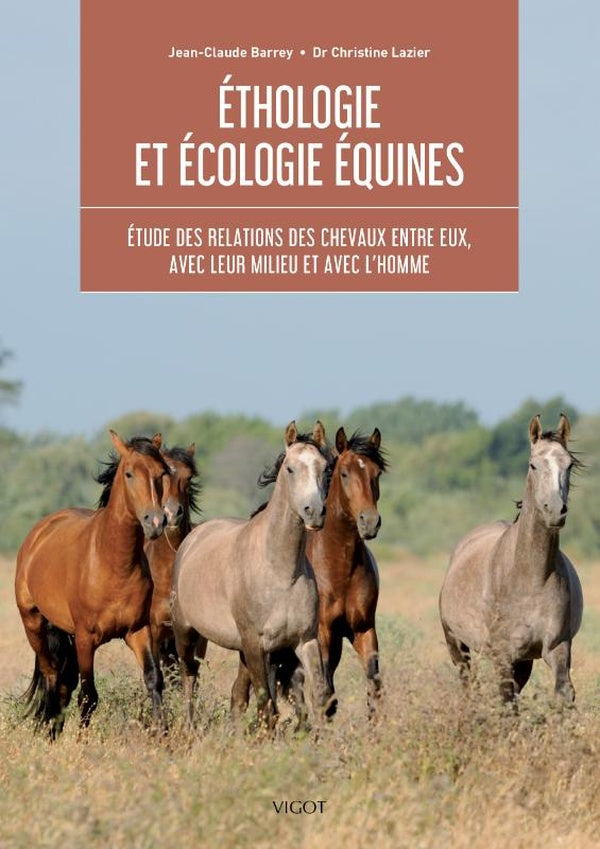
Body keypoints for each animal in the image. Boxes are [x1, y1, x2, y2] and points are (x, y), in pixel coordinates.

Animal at [15, 431, 170, 734]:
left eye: (162, 473)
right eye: (129, 473)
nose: (156, 522)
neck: (113, 564)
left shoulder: (138, 631)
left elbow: (154, 680)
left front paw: (164, 735)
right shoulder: (87, 638)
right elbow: (89, 696)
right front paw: (81, 741)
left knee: (63, 684)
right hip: (34, 624)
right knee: (53, 679)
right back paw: (51, 731)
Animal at [170, 421, 337, 730]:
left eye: (325, 468)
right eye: (290, 469)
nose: (315, 512)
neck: (281, 572)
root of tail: (192, 539)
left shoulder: (305, 640)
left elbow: (320, 698)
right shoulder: (255, 643)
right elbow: (266, 706)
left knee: (236, 695)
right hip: (186, 635)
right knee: (189, 681)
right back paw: (189, 730)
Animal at [231, 426, 387, 722]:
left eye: (376, 474)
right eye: (344, 473)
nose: (369, 522)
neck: (339, 568)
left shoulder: (363, 629)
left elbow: (373, 687)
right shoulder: (322, 633)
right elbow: (323, 696)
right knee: (245, 691)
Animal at [439, 414, 583, 703]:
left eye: (569, 464)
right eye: (533, 465)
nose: (555, 511)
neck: (531, 577)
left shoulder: (557, 646)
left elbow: (563, 692)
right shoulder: (502, 653)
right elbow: (505, 699)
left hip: (524, 660)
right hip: (457, 645)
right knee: (468, 685)